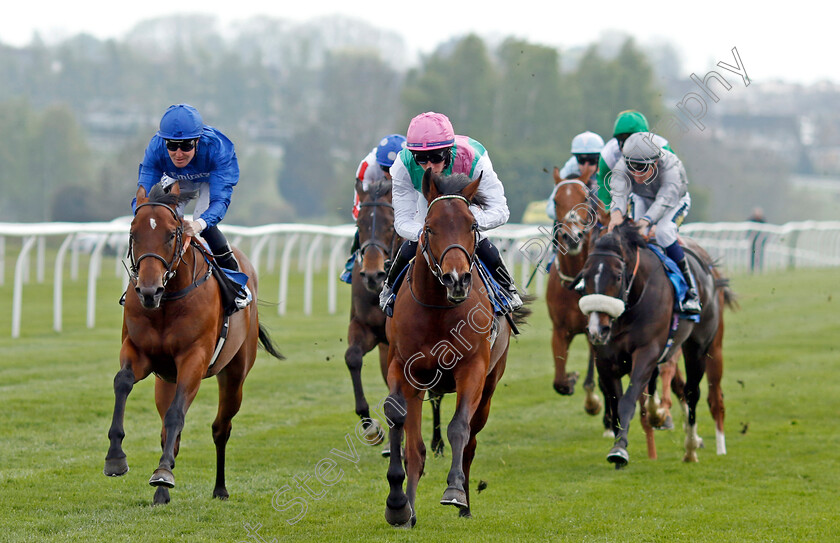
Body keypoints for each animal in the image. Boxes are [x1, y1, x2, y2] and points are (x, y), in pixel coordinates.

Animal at [104, 184, 282, 506]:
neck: (168, 299)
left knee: (221, 428)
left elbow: (177, 414)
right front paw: (115, 457)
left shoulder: (194, 359)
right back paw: (161, 492)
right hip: (166, 380)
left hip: (235, 374)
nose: (148, 291)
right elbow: (122, 382)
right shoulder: (139, 352)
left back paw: (219, 488)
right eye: (133, 233)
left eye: (171, 234)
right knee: (167, 434)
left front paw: (163, 472)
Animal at [382, 170, 524, 528]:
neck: (438, 309)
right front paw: (398, 505)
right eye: (430, 227)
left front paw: (455, 491)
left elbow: (458, 427)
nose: (456, 279)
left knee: (471, 439)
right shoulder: (403, 368)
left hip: (490, 385)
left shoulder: (472, 369)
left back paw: (466, 504)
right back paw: (410, 507)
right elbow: (400, 422)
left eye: (472, 225)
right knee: (416, 448)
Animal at [576, 221, 736, 468]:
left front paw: (619, 451)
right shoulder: (606, 360)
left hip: (701, 347)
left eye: (618, 276)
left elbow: (627, 401)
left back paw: (694, 448)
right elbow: (616, 402)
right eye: (585, 275)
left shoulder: (647, 351)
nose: (596, 330)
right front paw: (619, 445)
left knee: (696, 393)